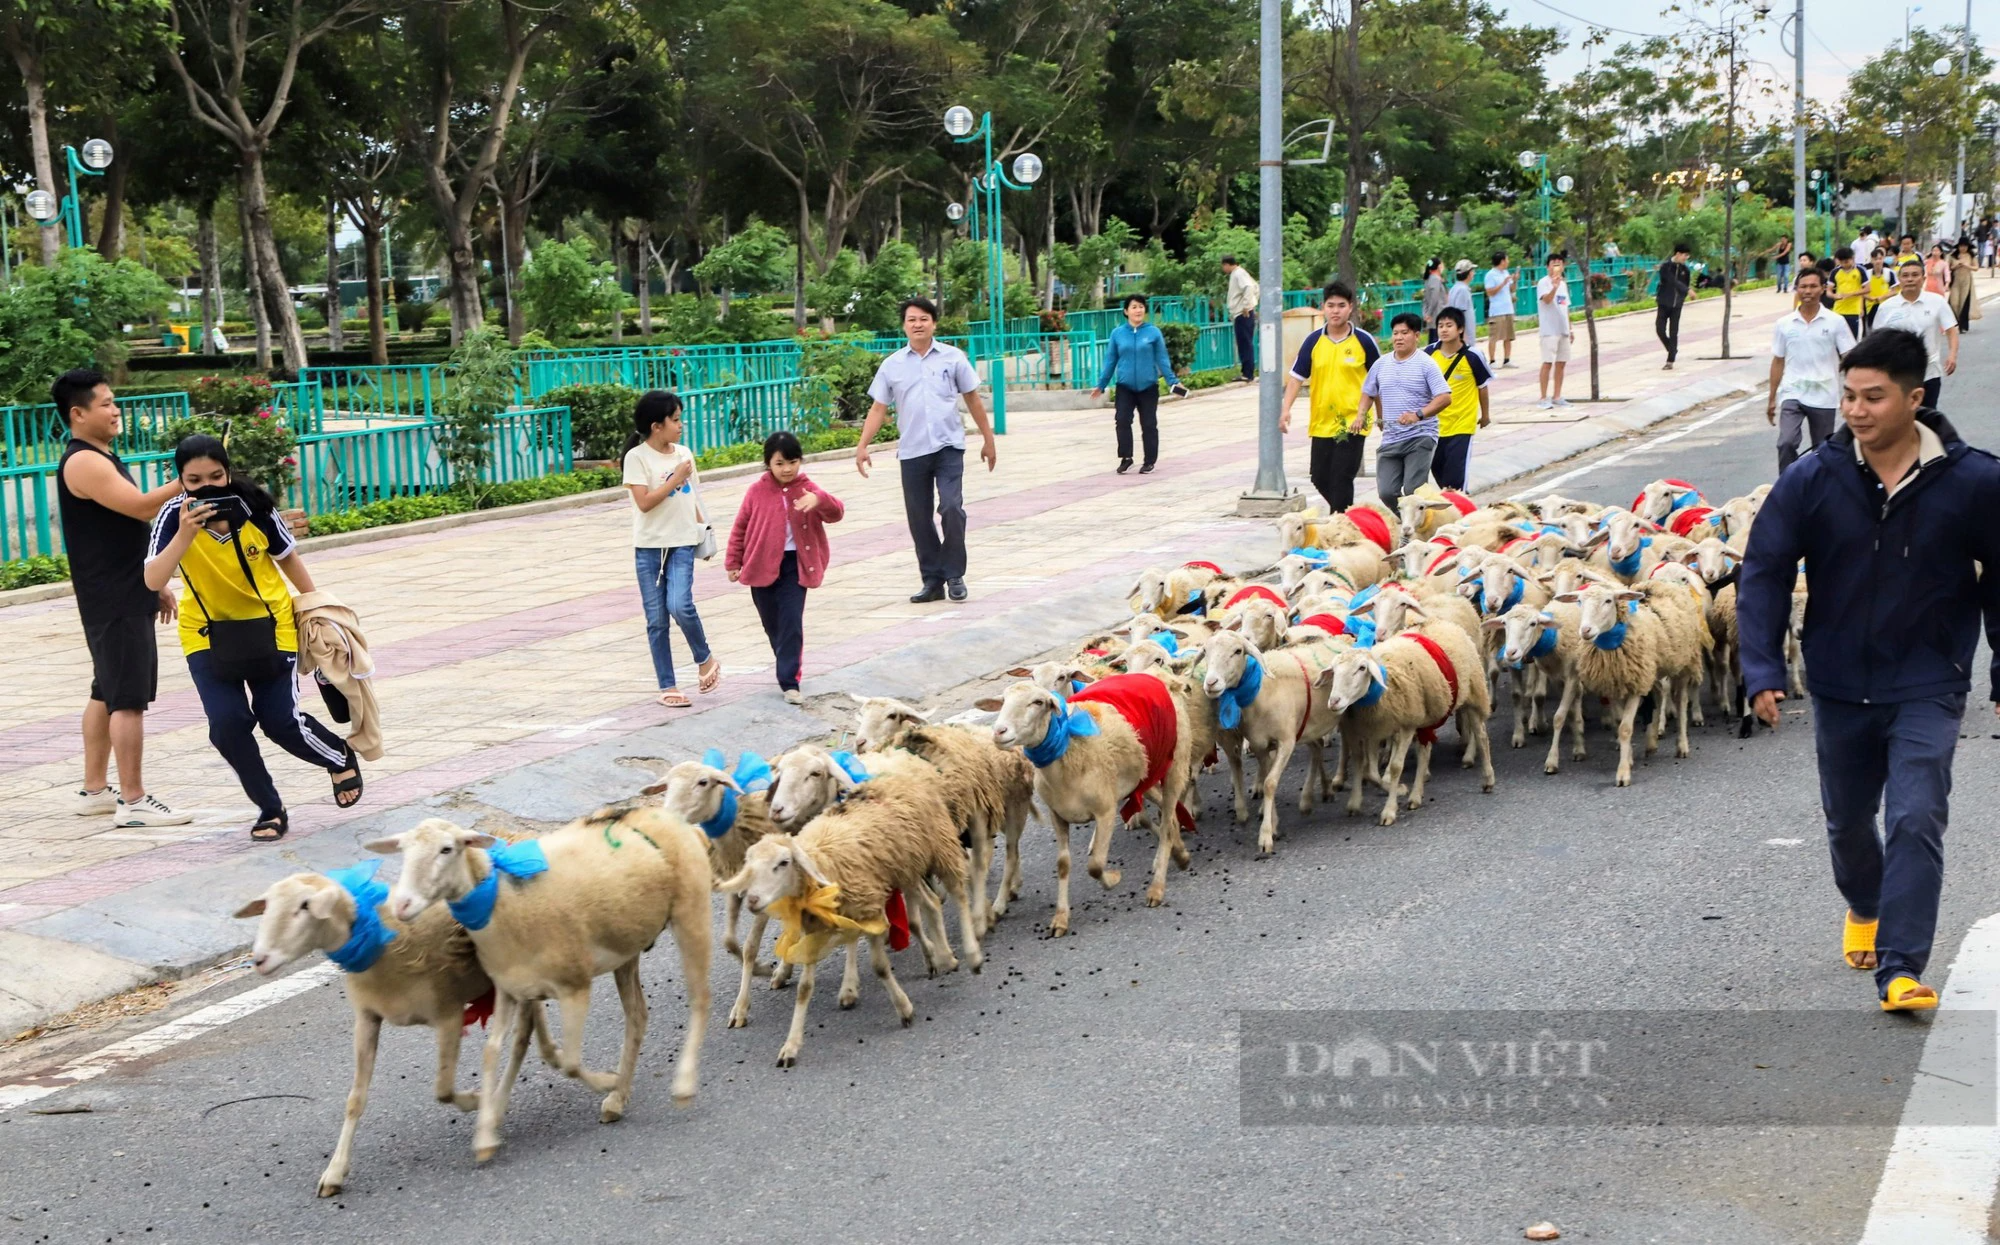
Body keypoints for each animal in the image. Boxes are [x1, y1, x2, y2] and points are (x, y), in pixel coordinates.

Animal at [237, 864, 556, 1208]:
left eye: (304, 906)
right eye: (267, 906)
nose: (259, 960)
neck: (381, 938)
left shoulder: (449, 1013)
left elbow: (443, 1089)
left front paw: (475, 1100)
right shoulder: (366, 1018)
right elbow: (355, 1100)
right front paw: (334, 1172)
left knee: (520, 1037)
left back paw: (496, 1105)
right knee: (530, 1022)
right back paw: (547, 1056)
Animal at [372, 808, 716, 1168]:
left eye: (447, 849)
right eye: (403, 851)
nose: (401, 905)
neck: (504, 905)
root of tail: (668, 815)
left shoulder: (574, 986)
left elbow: (571, 1064)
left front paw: (606, 1079)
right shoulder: (509, 990)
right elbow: (492, 1052)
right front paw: (485, 1134)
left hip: (691, 912)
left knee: (700, 998)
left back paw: (682, 1085)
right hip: (627, 945)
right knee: (638, 1015)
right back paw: (617, 1099)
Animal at [720, 776, 976, 1064]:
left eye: (783, 862)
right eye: (749, 864)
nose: (751, 900)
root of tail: (897, 777)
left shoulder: (870, 910)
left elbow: (880, 967)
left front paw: (904, 1009)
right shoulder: (817, 928)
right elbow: (804, 988)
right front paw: (791, 1046)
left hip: (938, 846)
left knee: (958, 892)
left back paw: (970, 953)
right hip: (906, 867)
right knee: (930, 904)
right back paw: (942, 957)